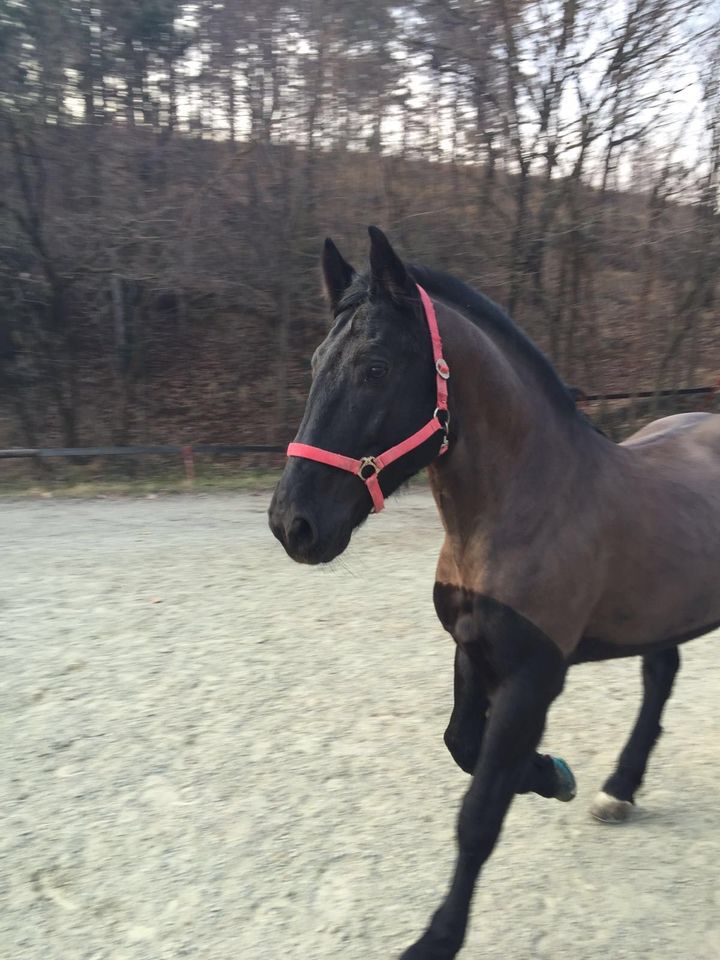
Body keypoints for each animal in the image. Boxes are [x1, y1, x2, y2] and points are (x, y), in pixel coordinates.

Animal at [268, 226, 720, 960]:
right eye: (314, 362)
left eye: (375, 368)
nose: (292, 524)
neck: (527, 505)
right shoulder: (472, 651)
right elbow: (462, 744)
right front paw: (552, 774)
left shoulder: (534, 678)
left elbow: (479, 815)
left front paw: (435, 939)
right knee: (661, 672)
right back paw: (618, 789)